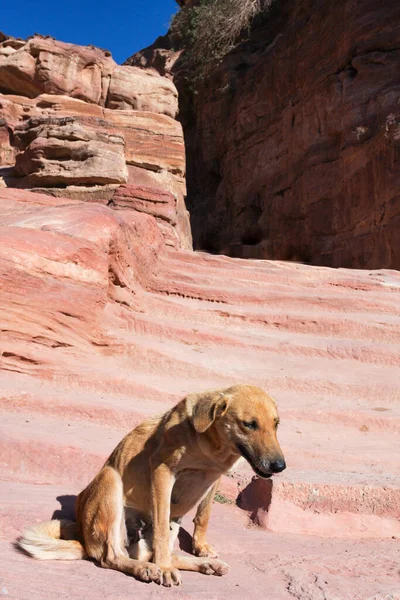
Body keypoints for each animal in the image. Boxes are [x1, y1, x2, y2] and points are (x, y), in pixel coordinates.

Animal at [18, 384, 284, 584]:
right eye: (249, 424)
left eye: (276, 424)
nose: (280, 466)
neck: (212, 448)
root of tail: (84, 539)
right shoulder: (163, 471)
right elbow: (161, 525)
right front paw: (165, 569)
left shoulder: (214, 477)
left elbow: (204, 515)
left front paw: (202, 548)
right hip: (111, 480)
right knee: (111, 556)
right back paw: (148, 569)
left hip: (171, 523)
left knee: (153, 552)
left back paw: (206, 564)